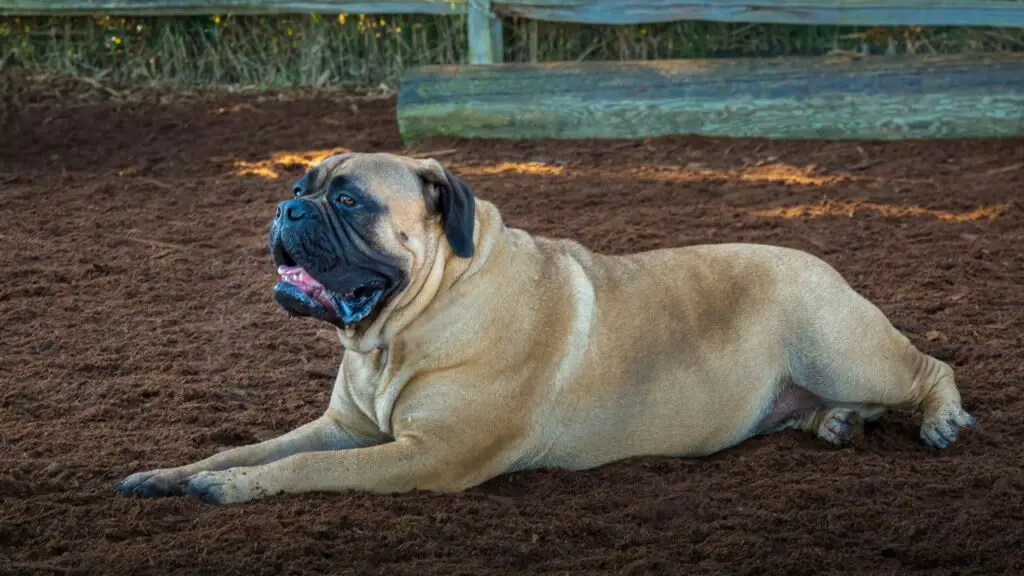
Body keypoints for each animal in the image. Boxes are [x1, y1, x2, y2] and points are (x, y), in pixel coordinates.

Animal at [112, 151, 974, 502]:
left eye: (349, 200)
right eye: (301, 188)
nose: (285, 209)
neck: (401, 330)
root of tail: (818, 261)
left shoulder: (423, 455)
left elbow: (300, 469)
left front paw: (228, 489)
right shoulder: (346, 427)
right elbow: (252, 447)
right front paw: (175, 473)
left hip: (843, 350)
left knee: (930, 367)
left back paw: (939, 421)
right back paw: (833, 425)